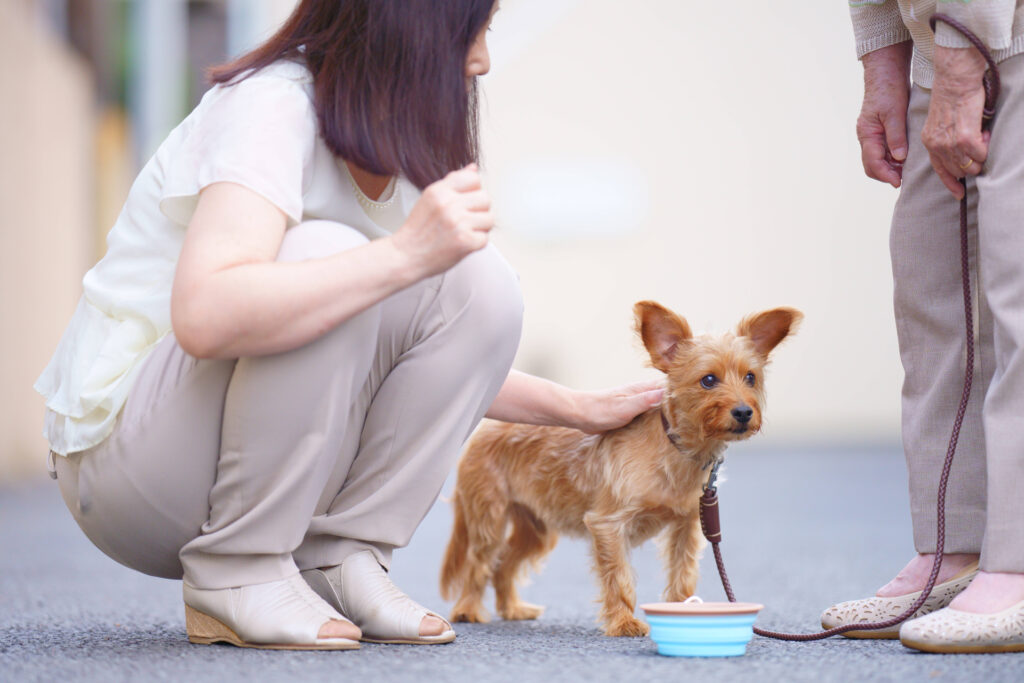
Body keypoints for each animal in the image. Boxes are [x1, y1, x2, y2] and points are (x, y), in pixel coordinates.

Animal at [438, 301, 798, 638]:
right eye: (708, 380)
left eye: (750, 377)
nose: (743, 412)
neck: (676, 450)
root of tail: (484, 430)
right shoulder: (608, 525)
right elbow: (619, 578)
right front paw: (624, 622)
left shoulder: (686, 526)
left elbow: (682, 574)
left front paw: (684, 613)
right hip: (489, 519)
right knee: (479, 565)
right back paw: (469, 609)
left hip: (536, 529)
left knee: (504, 565)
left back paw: (512, 607)